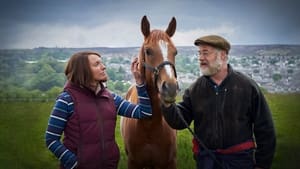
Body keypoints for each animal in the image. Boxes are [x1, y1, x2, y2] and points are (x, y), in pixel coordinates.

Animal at [120, 15, 178, 168]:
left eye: (175, 52)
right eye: (148, 51)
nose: (170, 88)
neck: (150, 125)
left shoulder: (170, 162)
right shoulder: (133, 162)